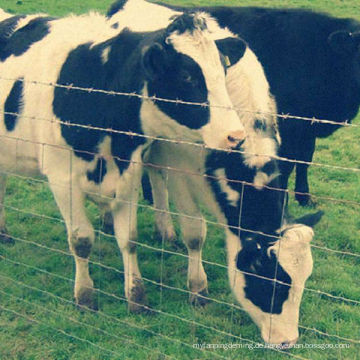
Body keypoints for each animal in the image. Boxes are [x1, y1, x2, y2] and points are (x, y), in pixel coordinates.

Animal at [0, 11, 248, 312]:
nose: (235, 136)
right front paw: (85, 296)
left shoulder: (129, 172)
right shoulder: (61, 178)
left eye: (222, 71)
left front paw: (136, 296)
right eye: (186, 76)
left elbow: (128, 239)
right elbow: (81, 240)